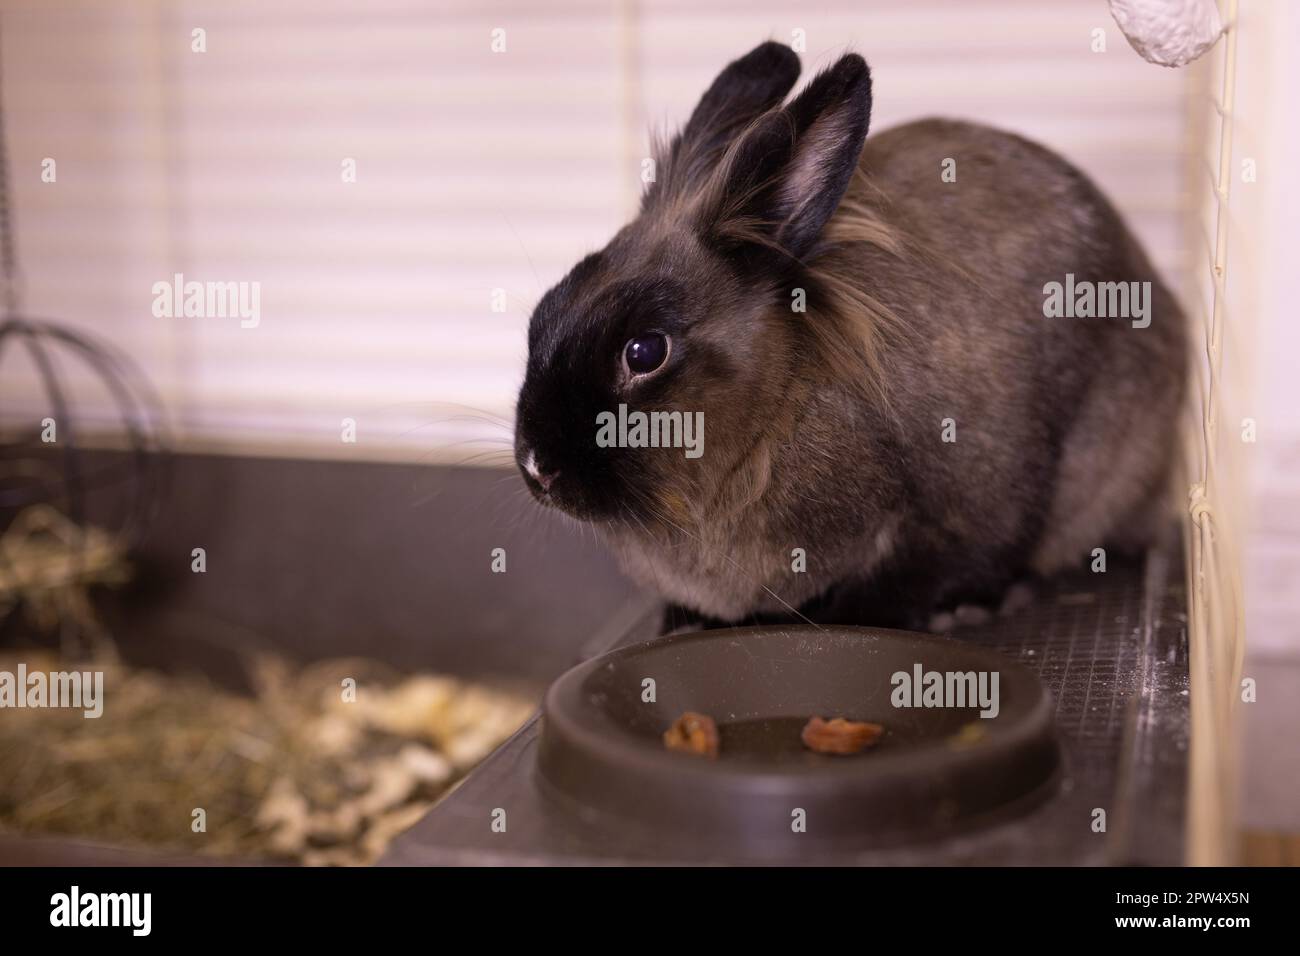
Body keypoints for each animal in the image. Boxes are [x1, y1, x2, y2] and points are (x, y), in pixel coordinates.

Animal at [513, 41, 1187, 631]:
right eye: (543, 313)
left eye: (645, 351)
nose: (537, 467)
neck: (777, 408)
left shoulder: (960, 516)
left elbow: (921, 576)